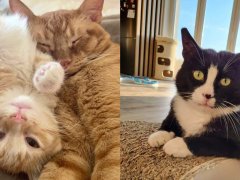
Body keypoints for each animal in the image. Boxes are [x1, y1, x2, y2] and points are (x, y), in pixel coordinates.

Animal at [9, 0, 120, 179]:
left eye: (75, 40)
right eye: (44, 44)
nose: (63, 62)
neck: (72, 84)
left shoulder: (110, 129)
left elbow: (108, 171)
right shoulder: (70, 150)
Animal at [148, 27, 240, 158]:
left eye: (225, 81)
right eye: (198, 74)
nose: (207, 95)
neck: (198, 112)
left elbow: (211, 141)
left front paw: (176, 144)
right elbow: (168, 119)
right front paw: (159, 134)